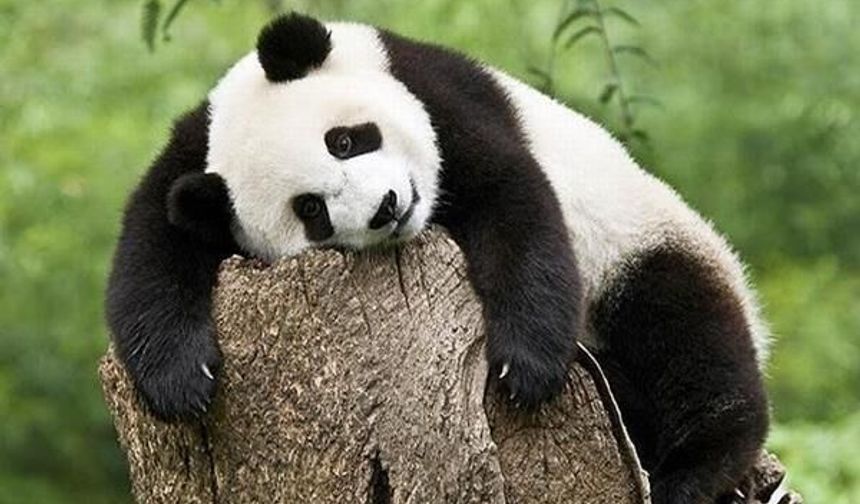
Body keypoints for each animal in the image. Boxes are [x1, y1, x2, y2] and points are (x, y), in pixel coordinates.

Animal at [106, 13, 769, 504]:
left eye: (344, 140)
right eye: (310, 210)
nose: (386, 207)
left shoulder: (442, 100)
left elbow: (514, 203)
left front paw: (525, 369)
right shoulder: (191, 155)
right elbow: (150, 245)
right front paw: (181, 381)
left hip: (638, 238)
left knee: (684, 328)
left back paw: (693, 470)